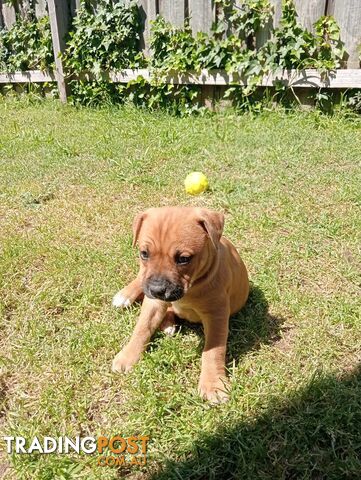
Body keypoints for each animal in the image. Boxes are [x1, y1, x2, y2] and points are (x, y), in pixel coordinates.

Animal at [111, 206, 249, 402]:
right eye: (144, 254)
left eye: (184, 259)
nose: (157, 289)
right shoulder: (153, 301)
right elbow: (142, 328)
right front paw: (128, 356)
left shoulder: (217, 314)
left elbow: (213, 350)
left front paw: (213, 384)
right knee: (140, 279)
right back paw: (125, 295)